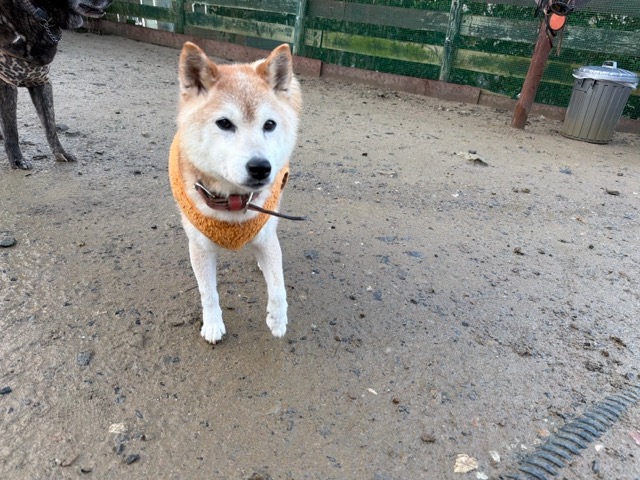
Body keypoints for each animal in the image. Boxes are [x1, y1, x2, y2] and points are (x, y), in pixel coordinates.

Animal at [0, 0, 112, 170]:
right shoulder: (6, 81)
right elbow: (11, 128)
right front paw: (18, 160)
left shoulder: (41, 80)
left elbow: (50, 124)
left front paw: (61, 153)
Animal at [169, 42, 302, 344]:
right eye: (225, 123)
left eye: (269, 124)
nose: (261, 167)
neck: (233, 202)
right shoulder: (200, 248)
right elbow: (208, 293)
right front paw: (213, 324)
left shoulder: (266, 235)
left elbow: (278, 285)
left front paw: (278, 319)